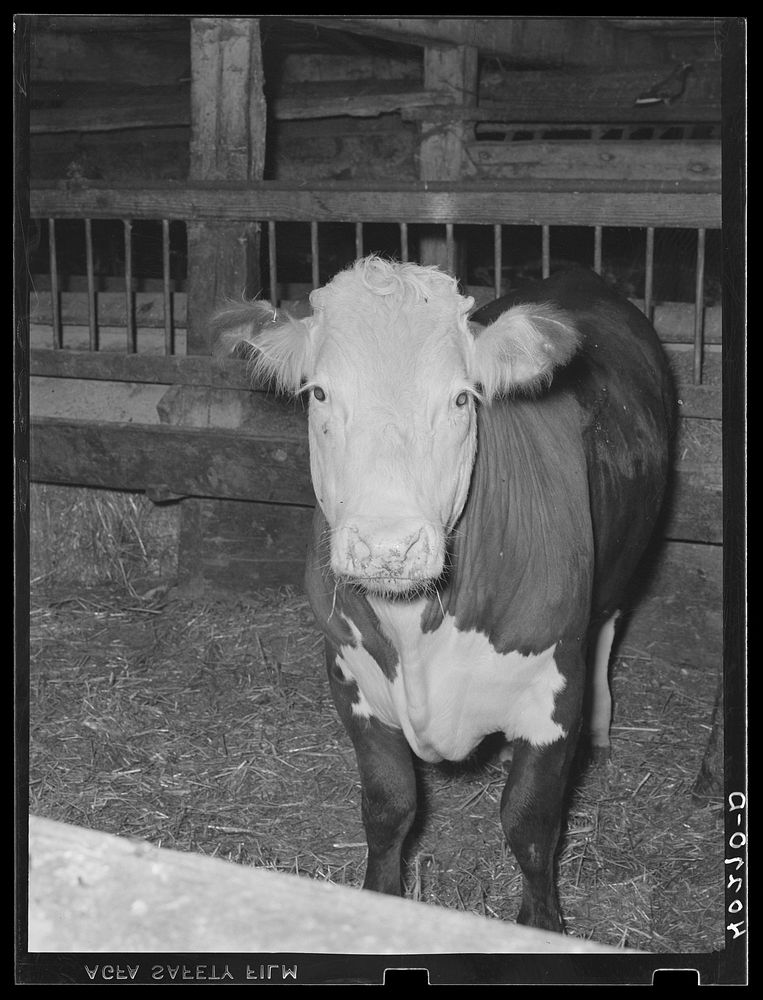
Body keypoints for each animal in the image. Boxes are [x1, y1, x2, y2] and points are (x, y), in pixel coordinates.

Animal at [215, 256, 676, 928]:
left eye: (462, 397)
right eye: (320, 393)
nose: (387, 545)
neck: (417, 632)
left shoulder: (552, 687)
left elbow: (530, 824)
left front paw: (543, 925)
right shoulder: (349, 675)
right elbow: (389, 807)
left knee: (611, 622)